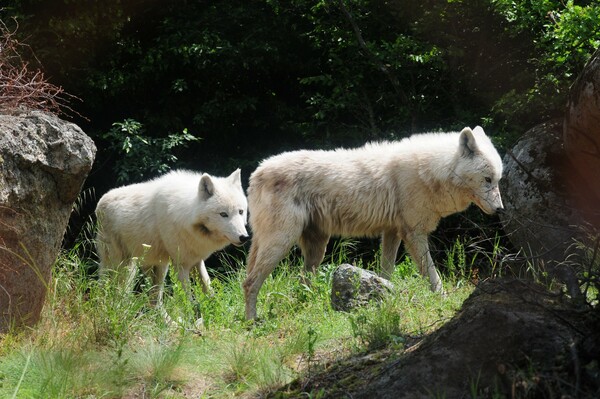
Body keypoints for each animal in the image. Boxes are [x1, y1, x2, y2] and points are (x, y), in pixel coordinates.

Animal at [95, 170, 248, 306]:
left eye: (240, 211)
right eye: (223, 214)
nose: (244, 237)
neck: (185, 213)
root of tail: (100, 201)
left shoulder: (196, 261)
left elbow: (209, 290)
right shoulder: (181, 265)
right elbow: (187, 300)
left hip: (157, 266)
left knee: (154, 302)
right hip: (121, 265)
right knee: (111, 289)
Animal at [243, 126, 502, 320]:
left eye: (498, 179)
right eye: (487, 179)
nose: (501, 209)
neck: (432, 170)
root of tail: (256, 173)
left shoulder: (392, 233)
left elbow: (386, 271)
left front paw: (384, 295)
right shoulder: (414, 233)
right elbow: (432, 274)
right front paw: (443, 299)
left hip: (316, 248)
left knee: (300, 282)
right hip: (282, 242)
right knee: (249, 282)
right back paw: (252, 322)